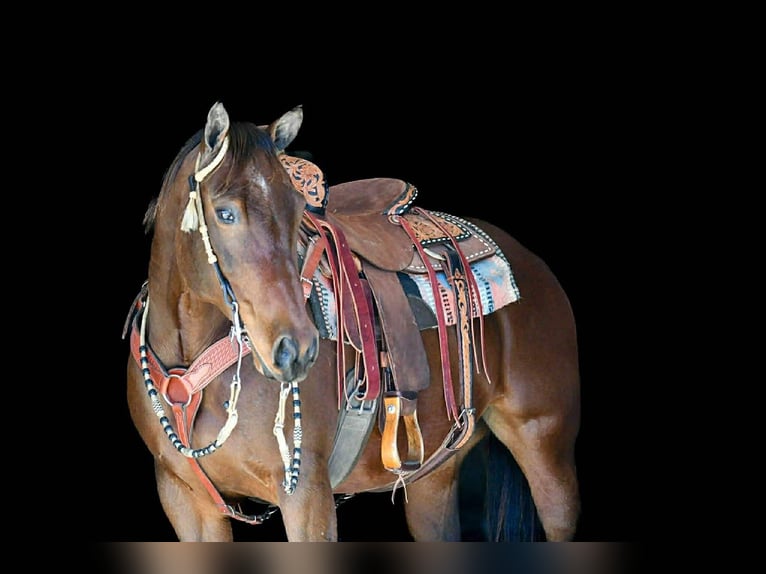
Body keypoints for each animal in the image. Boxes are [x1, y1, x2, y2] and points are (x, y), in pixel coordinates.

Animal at [124, 102, 581, 542]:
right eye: (225, 213)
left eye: (297, 212)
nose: (296, 349)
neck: (190, 366)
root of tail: (531, 263)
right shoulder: (186, 502)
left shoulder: (306, 494)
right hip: (433, 478)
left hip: (546, 449)